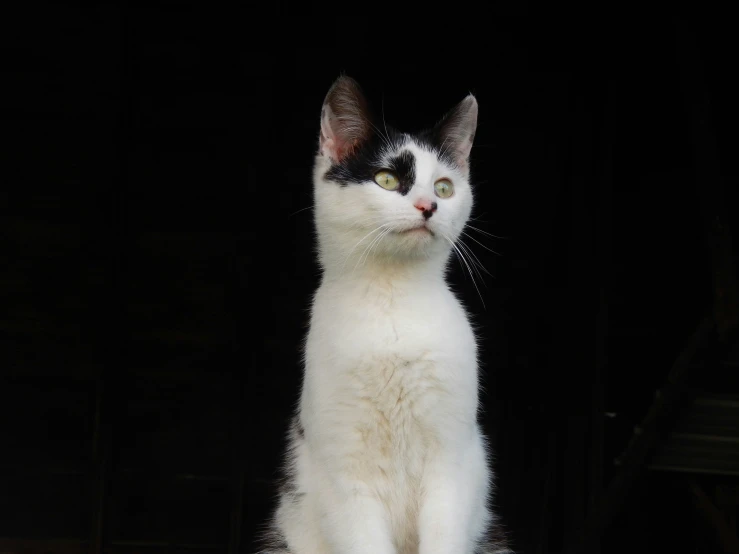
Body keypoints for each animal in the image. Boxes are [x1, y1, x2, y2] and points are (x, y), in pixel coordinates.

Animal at [258, 76, 508, 552]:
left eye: (444, 187)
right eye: (387, 179)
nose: (429, 205)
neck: (394, 302)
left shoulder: (453, 464)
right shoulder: (345, 476)